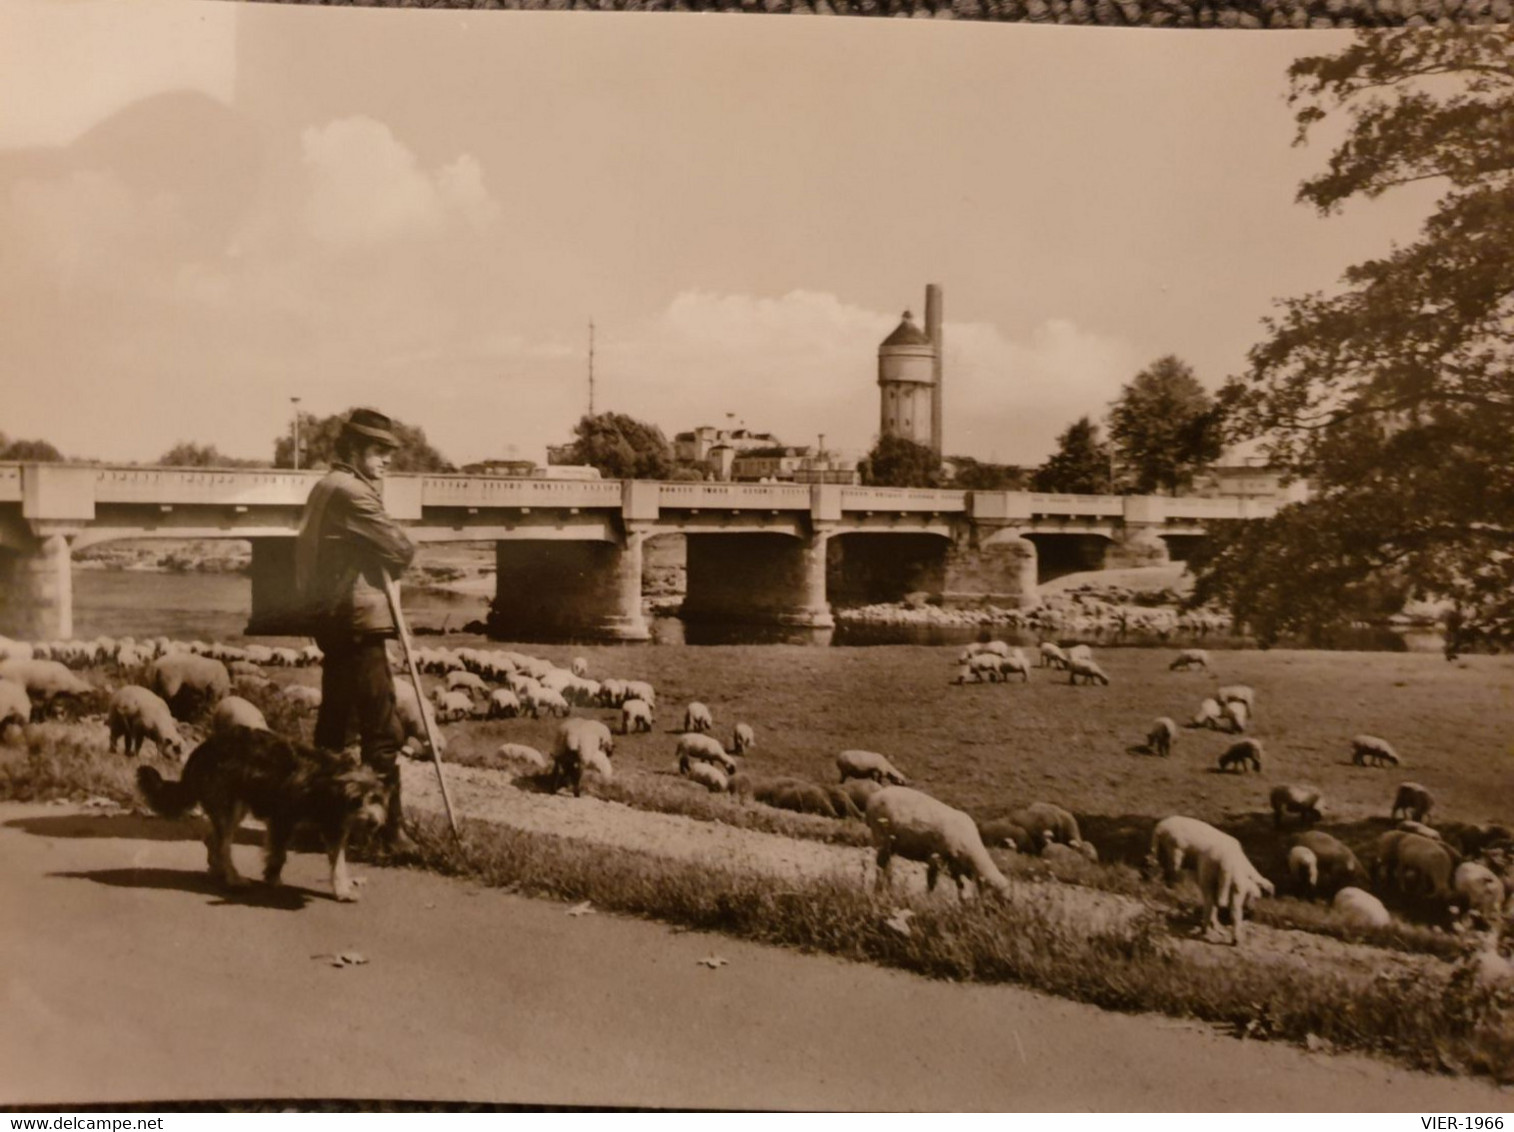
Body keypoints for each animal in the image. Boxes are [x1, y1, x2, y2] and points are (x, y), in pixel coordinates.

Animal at [134, 726, 390, 901]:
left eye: (376, 799)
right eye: (356, 800)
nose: (373, 822)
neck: (323, 785)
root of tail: (202, 749)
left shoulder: (335, 828)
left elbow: (339, 864)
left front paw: (342, 890)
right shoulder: (282, 819)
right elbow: (279, 854)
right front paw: (273, 878)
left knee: (212, 839)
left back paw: (218, 869)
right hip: (230, 806)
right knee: (223, 845)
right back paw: (234, 878)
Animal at [872, 786, 1011, 901]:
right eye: (1001, 899)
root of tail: (875, 795)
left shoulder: (955, 866)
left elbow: (960, 885)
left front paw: (962, 902)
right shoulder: (936, 857)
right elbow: (931, 882)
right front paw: (928, 899)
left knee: (886, 867)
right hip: (882, 838)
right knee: (880, 867)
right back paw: (879, 891)